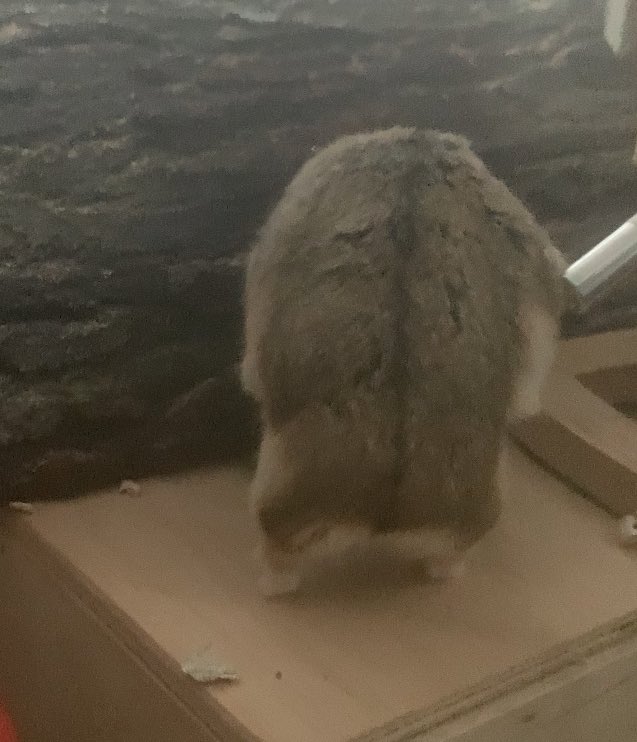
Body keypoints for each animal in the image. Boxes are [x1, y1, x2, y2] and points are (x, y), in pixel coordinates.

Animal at [241, 127, 566, 595]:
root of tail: (386, 517)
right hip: (472, 519)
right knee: (450, 559)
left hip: (276, 505)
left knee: (280, 564)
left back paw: (268, 584)